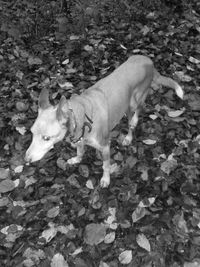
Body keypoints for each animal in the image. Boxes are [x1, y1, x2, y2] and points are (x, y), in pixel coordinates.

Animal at [24, 55, 183, 187]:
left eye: (46, 138)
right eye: (31, 133)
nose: (26, 160)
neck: (81, 114)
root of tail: (148, 61)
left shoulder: (106, 146)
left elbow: (105, 166)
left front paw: (106, 179)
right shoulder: (80, 139)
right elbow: (80, 151)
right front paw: (76, 159)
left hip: (134, 102)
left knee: (137, 113)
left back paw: (129, 133)